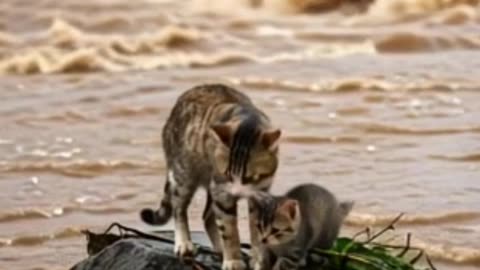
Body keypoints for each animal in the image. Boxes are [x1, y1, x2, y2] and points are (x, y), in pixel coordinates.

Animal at [139, 83, 282, 268]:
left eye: (250, 178)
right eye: (227, 175)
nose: (235, 194)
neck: (248, 122)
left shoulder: (258, 195)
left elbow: (256, 232)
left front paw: (258, 260)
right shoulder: (222, 191)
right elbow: (229, 231)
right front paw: (233, 260)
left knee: (206, 217)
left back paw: (219, 247)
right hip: (185, 175)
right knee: (179, 209)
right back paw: (184, 243)